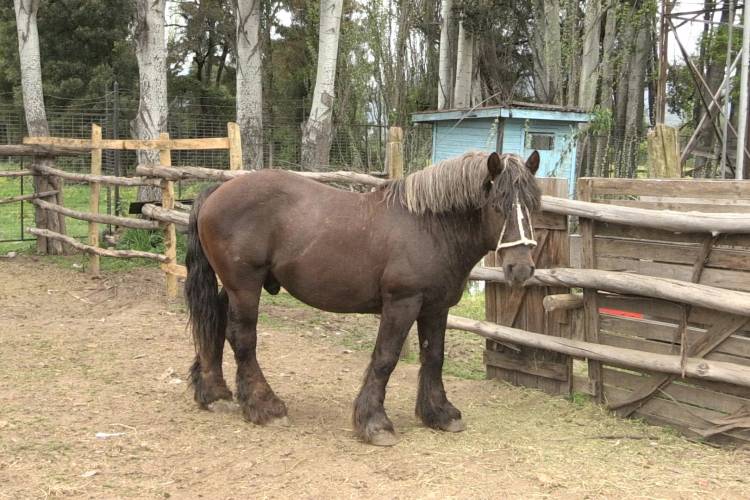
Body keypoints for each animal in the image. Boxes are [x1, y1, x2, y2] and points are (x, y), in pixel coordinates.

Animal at [186, 151, 544, 446]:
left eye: (533, 206)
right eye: (497, 206)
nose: (521, 268)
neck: (429, 227)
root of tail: (217, 191)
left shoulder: (435, 308)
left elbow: (434, 356)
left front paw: (439, 413)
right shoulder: (402, 303)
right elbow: (386, 358)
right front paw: (375, 423)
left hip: (234, 287)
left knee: (215, 324)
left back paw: (214, 393)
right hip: (245, 286)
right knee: (242, 338)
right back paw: (265, 406)